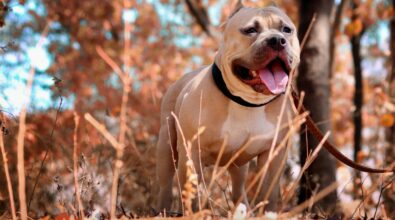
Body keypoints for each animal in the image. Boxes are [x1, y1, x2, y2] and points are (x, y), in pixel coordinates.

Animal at [155, 2, 300, 212]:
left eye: (286, 30)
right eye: (250, 30)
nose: (277, 40)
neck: (247, 102)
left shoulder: (274, 155)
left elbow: (268, 193)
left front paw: (267, 213)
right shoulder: (192, 153)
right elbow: (192, 194)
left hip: (238, 167)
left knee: (238, 189)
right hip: (167, 148)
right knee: (165, 185)